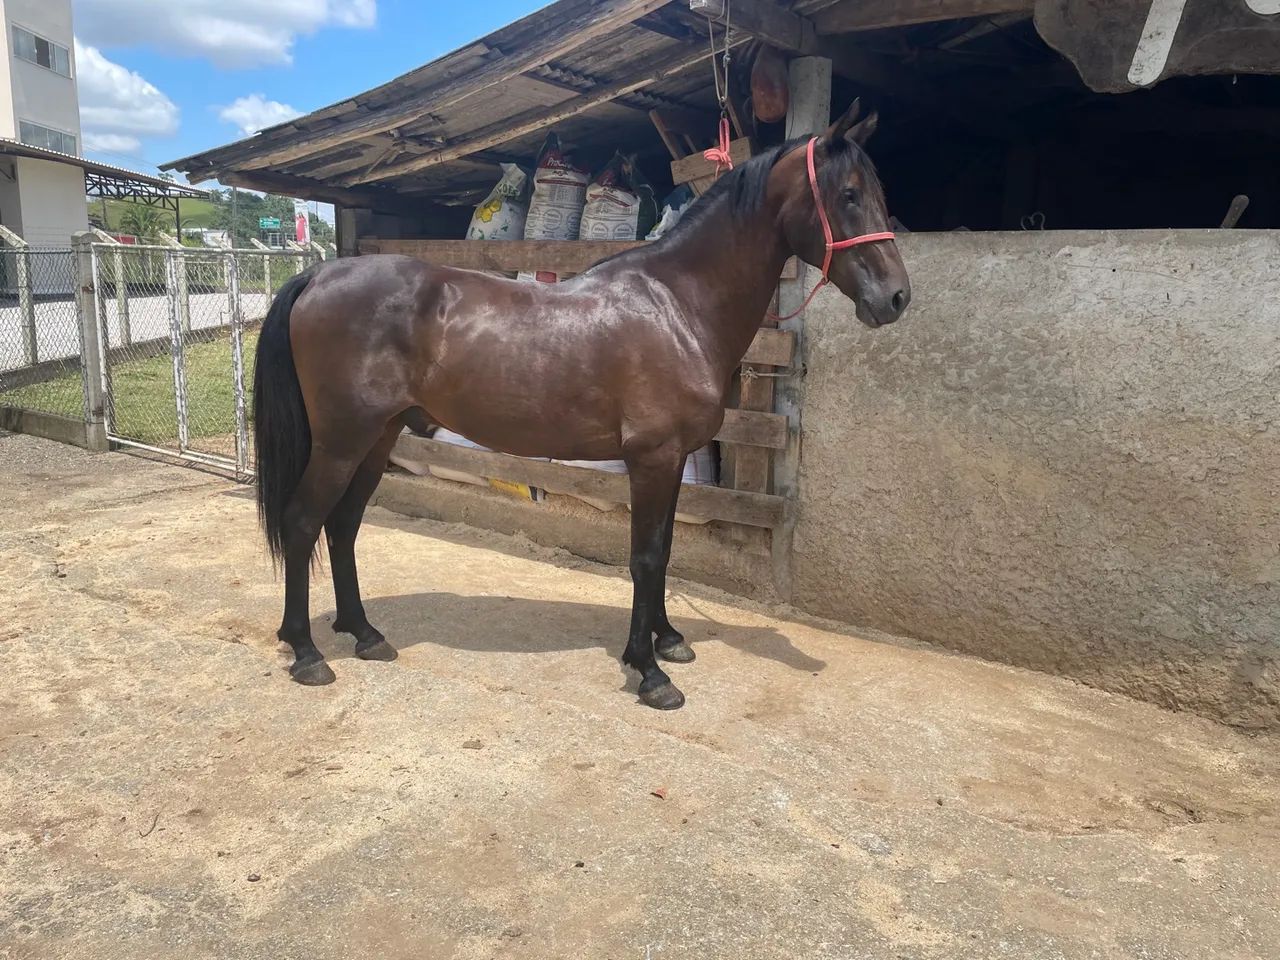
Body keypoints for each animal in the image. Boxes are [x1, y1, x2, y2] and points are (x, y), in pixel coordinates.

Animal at [251, 99, 910, 710]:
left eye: (878, 193)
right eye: (848, 194)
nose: (896, 298)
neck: (677, 304)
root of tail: (319, 277)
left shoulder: (670, 461)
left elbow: (664, 552)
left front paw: (668, 640)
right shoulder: (652, 458)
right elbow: (645, 556)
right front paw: (650, 673)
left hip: (377, 438)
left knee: (342, 525)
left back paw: (363, 633)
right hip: (342, 440)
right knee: (303, 521)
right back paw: (306, 652)